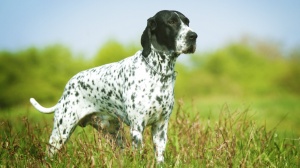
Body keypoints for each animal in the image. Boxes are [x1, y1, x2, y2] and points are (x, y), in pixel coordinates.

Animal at [30, 10, 197, 163]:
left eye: (187, 22)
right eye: (172, 22)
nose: (193, 36)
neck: (158, 71)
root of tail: (68, 87)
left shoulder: (161, 127)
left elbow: (160, 158)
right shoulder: (137, 128)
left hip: (114, 135)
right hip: (61, 133)